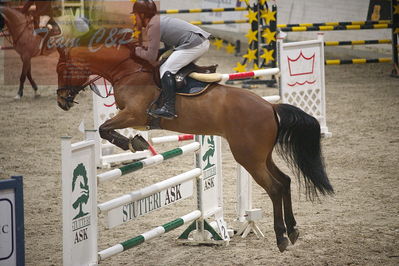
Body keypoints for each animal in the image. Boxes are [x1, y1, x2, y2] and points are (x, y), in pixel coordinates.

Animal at [55, 40, 334, 252]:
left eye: (61, 70)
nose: (61, 102)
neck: (128, 71)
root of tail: (270, 106)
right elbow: (106, 129)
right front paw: (137, 142)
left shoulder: (134, 114)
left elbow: (105, 129)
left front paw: (133, 143)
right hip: (260, 156)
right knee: (285, 181)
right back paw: (293, 230)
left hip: (248, 158)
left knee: (275, 187)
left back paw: (281, 237)